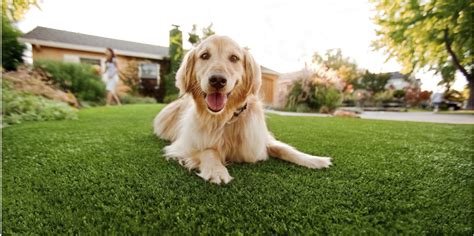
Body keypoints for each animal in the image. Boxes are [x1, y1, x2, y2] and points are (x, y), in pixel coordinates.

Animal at [154, 35, 332, 184]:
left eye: (234, 58)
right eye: (204, 56)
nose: (217, 80)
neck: (226, 118)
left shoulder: (258, 141)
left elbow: (284, 148)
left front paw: (314, 160)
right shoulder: (184, 145)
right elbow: (208, 150)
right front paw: (216, 170)